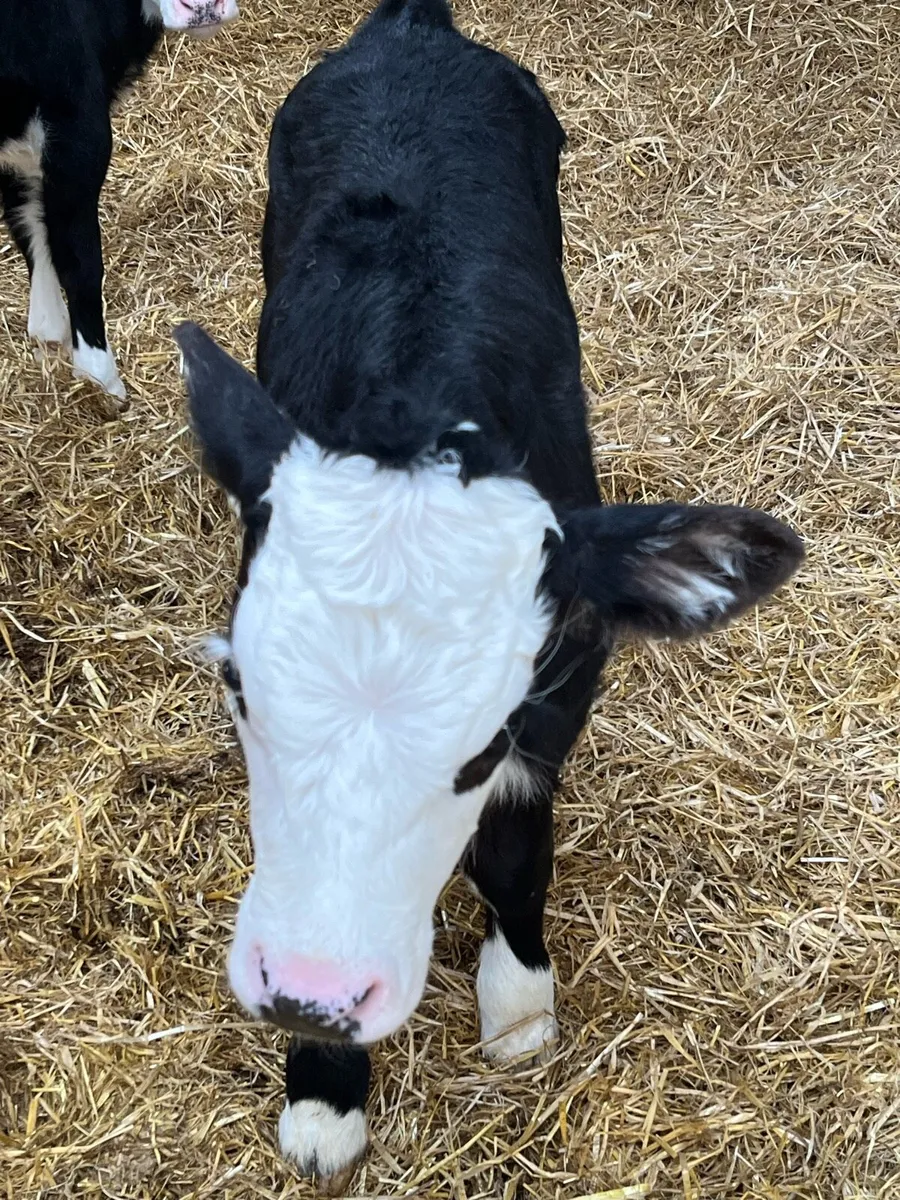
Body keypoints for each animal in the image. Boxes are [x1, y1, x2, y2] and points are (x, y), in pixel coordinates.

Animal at [0, 0, 239, 401]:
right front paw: (98, 377)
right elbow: (79, 258)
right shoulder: (79, 122)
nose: (204, 8)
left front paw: (48, 332)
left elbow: (31, 224)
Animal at [173, 0, 804, 1188]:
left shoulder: (558, 695)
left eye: (477, 749)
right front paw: (325, 1092)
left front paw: (517, 1003)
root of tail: (411, 28)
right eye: (245, 703)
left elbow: (515, 852)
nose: (311, 994)